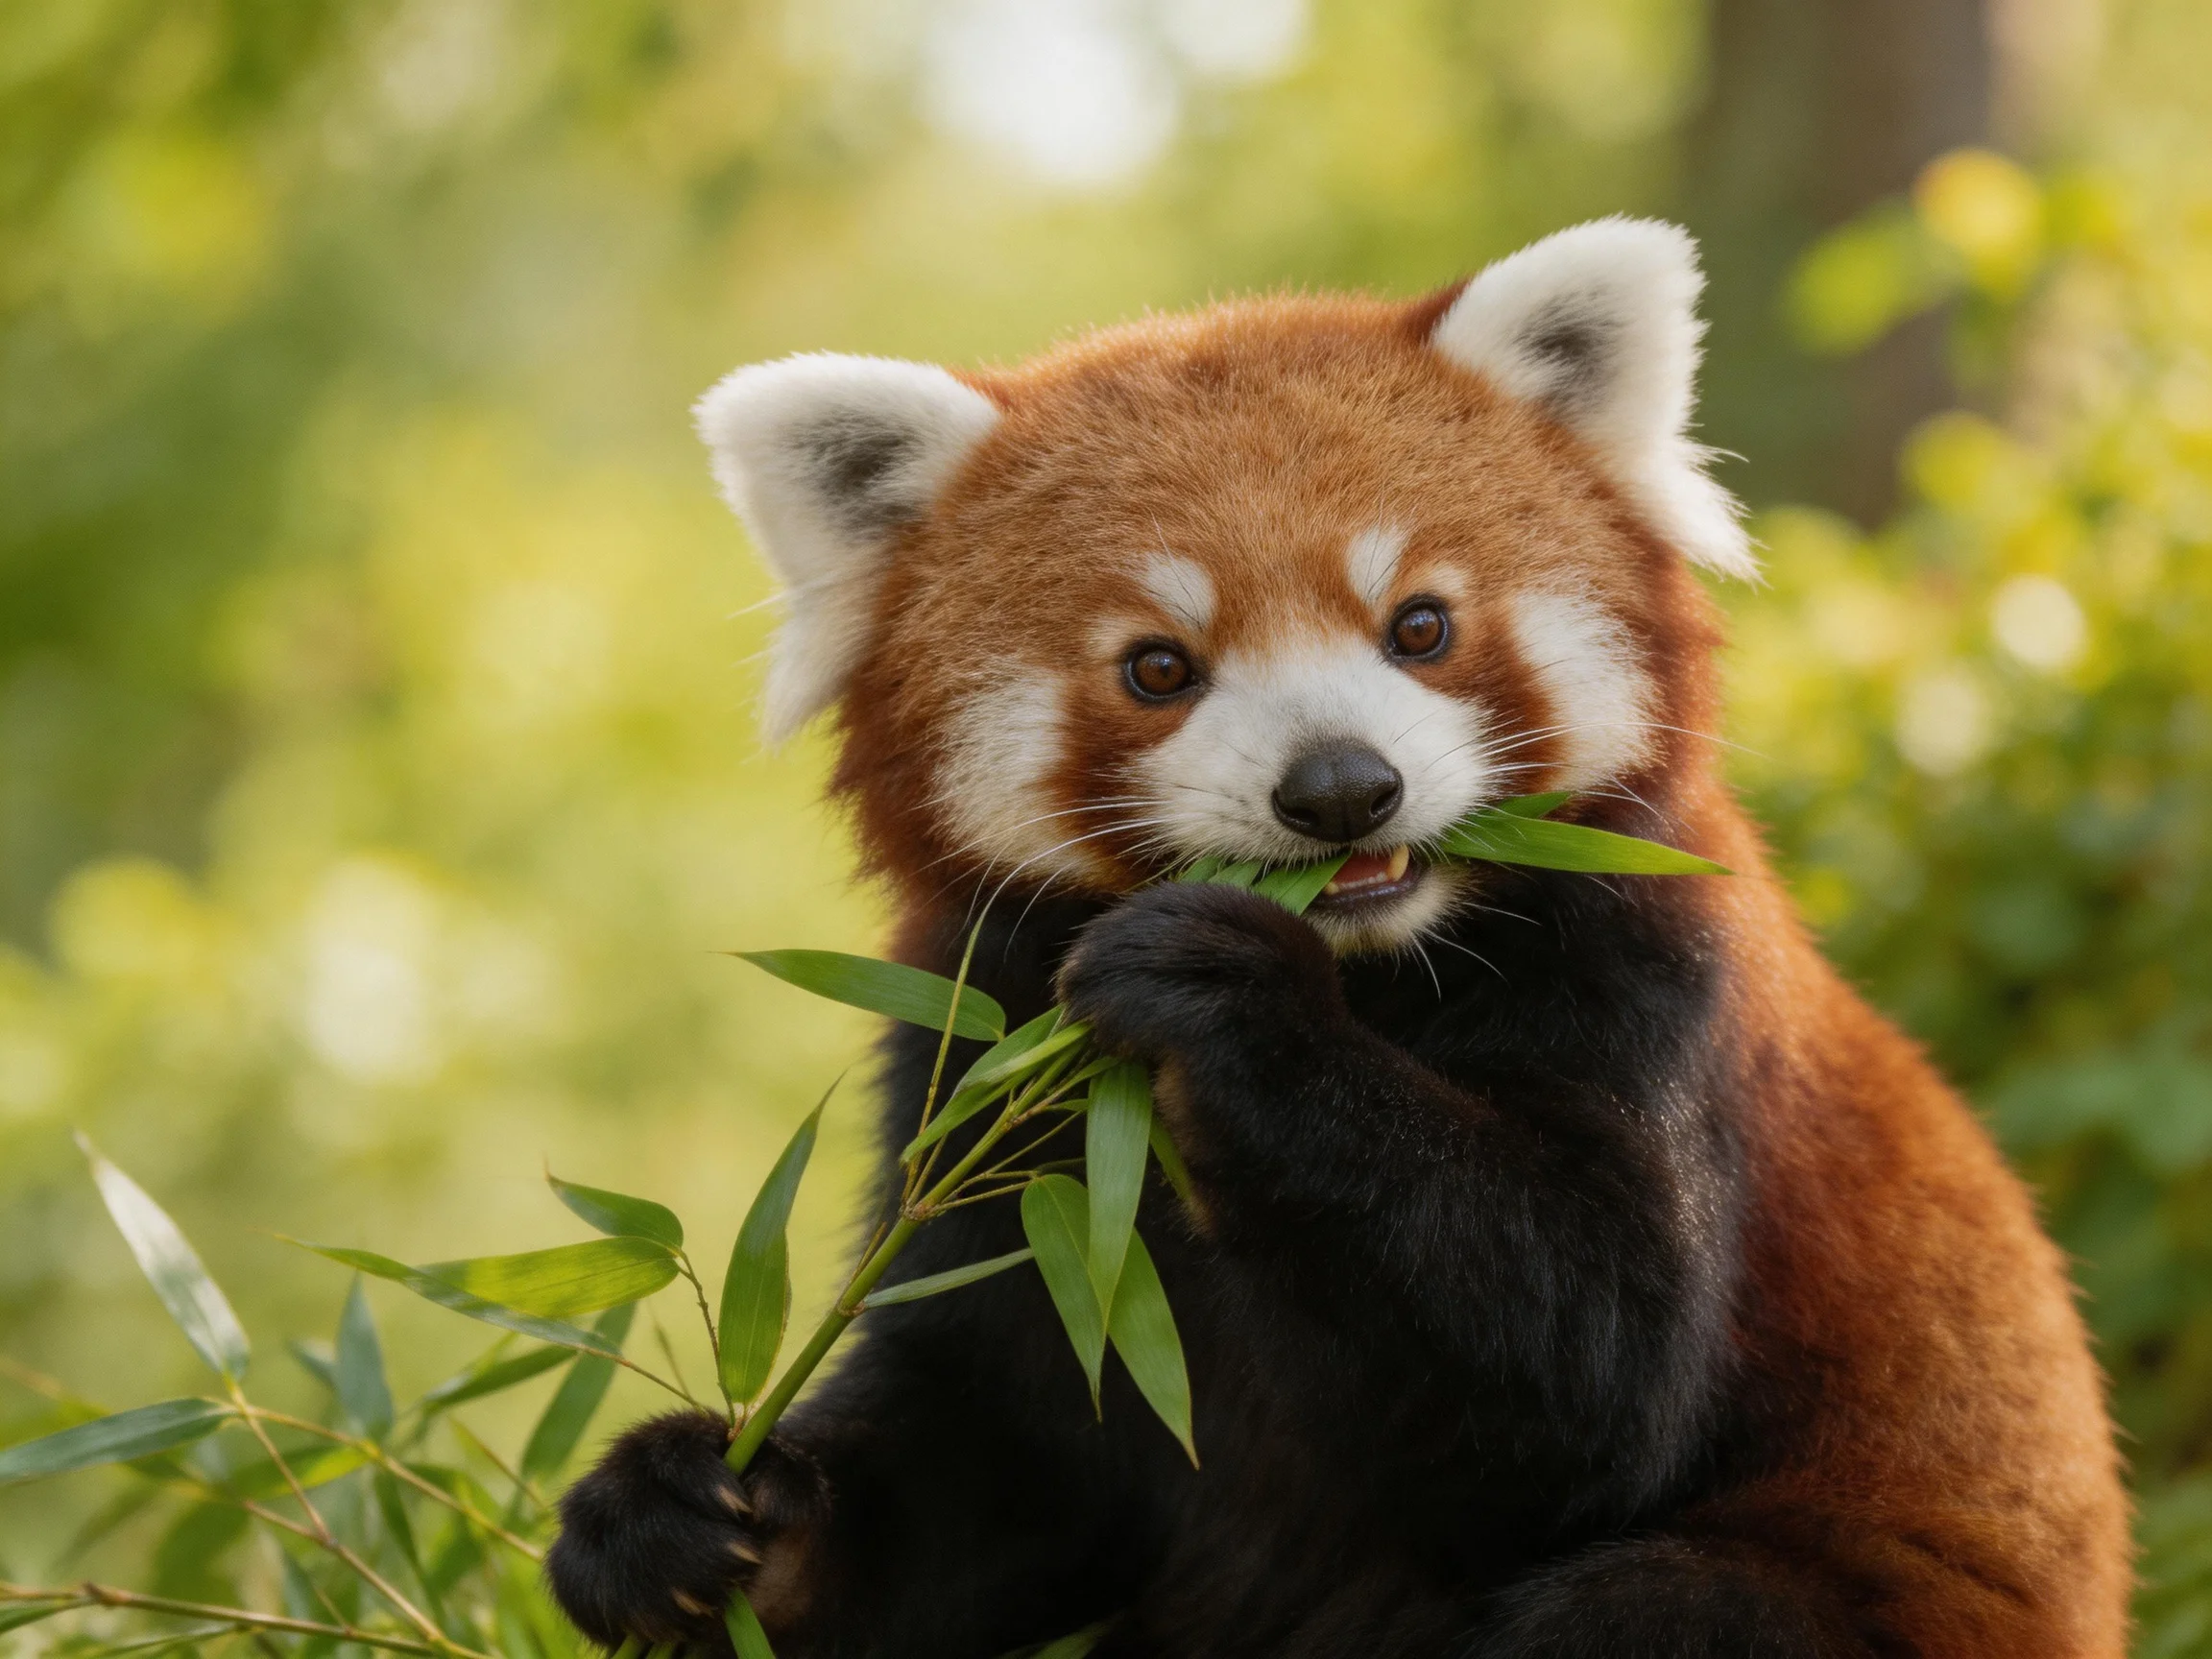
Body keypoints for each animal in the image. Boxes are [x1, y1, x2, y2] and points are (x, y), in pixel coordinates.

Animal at [544, 219, 2129, 1658]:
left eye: (1418, 626)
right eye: (1159, 668)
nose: (1339, 790)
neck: (1380, 968)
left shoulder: (1660, 970)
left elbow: (1589, 1369)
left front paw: (1228, 992)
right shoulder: (987, 1068)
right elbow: (998, 1450)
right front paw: (685, 1515)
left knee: (1653, 1608)